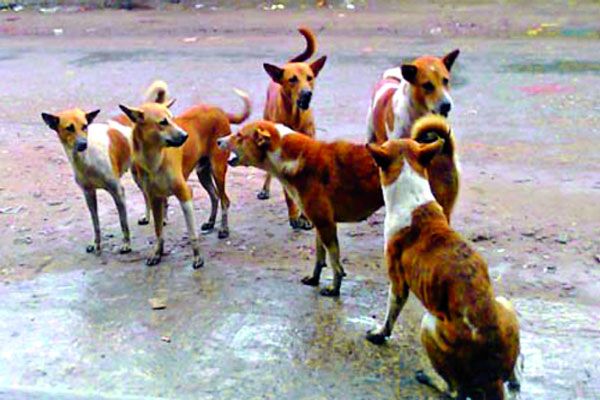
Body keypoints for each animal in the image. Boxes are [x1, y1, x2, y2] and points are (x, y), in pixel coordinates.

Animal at [41, 108, 133, 255]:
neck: (87, 159)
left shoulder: (117, 191)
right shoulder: (88, 193)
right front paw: (96, 244)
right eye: (69, 128)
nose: (83, 144)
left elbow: (123, 222)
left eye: (85, 126)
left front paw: (126, 244)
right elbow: (95, 223)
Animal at [119, 83, 250, 268]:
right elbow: (158, 231)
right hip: (203, 173)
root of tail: (218, 110)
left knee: (225, 200)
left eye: (173, 119)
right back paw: (211, 222)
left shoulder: (185, 194)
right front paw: (157, 253)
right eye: (163, 122)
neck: (155, 159)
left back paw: (224, 229)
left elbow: (191, 232)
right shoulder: (154, 198)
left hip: (218, 170)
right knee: (215, 197)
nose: (185, 136)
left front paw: (197, 258)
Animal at [217, 118, 458, 296]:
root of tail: (442, 149)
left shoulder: (326, 225)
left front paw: (334, 288)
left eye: (239, 136)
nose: (219, 140)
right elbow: (319, 256)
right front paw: (314, 279)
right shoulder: (319, 223)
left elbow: (334, 262)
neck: (293, 158)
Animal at [257, 26, 327, 231]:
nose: (307, 94)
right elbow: (288, 195)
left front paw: (306, 217)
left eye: (310, 78)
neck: (295, 116)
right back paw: (265, 189)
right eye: (293, 80)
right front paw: (294, 216)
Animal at [365, 138, 520, 399]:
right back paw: (514, 377)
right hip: (503, 302)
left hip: (428, 323)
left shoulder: (398, 283)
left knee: (455, 390)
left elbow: (390, 314)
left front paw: (380, 334)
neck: (414, 201)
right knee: (513, 372)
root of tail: (493, 376)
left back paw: (430, 379)